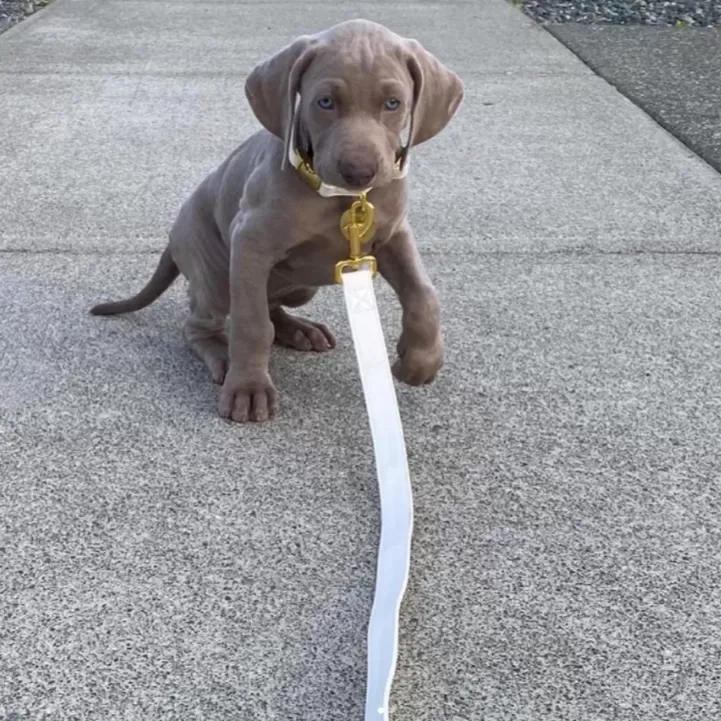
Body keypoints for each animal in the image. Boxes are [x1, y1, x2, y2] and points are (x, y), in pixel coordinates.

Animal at [91, 18, 462, 422]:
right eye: (325, 102)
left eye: (393, 104)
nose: (359, 172)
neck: (344, 200)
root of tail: (173, 240)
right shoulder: (250, 242)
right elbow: (252, 324)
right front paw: (248, 388)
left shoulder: (394, 234)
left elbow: (424, 292)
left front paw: (421, 360)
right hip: (217, 272)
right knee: (204, 322)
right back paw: (224, 355)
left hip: (301, 286)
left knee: (270, 302)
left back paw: (300, 330)